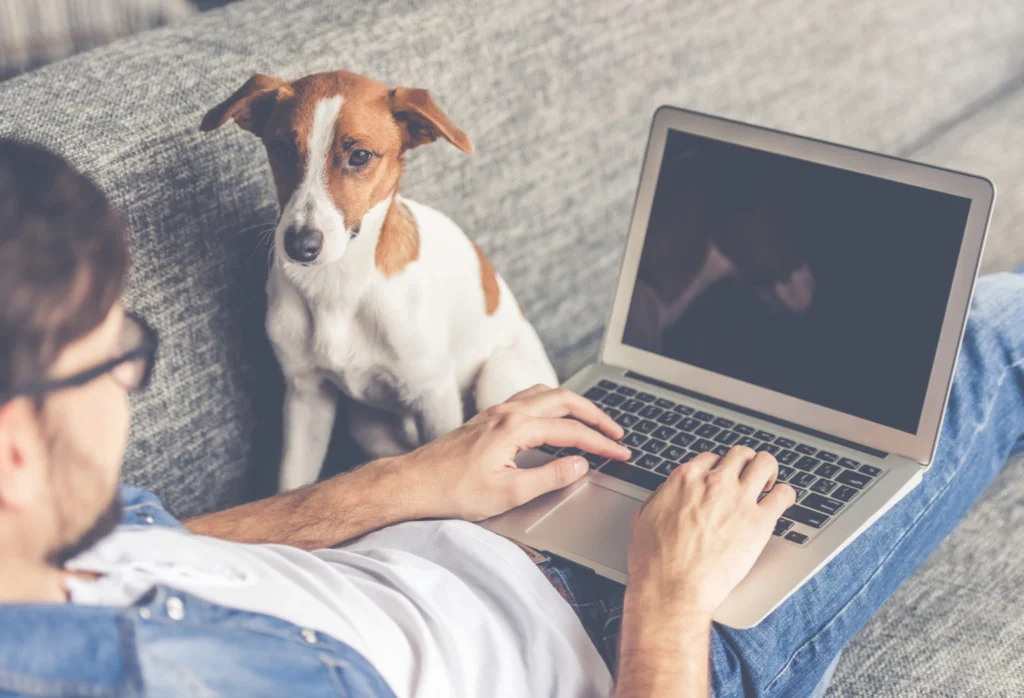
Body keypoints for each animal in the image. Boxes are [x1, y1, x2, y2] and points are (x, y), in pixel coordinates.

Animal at [200, 72, 561, 489]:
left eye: (360, 156)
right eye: (283, 149)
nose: (300, 245)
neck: (337, 283)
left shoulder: (433, 396)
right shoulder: (307, 397)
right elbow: (293, 481)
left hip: (496, 379)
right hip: (366, 426)